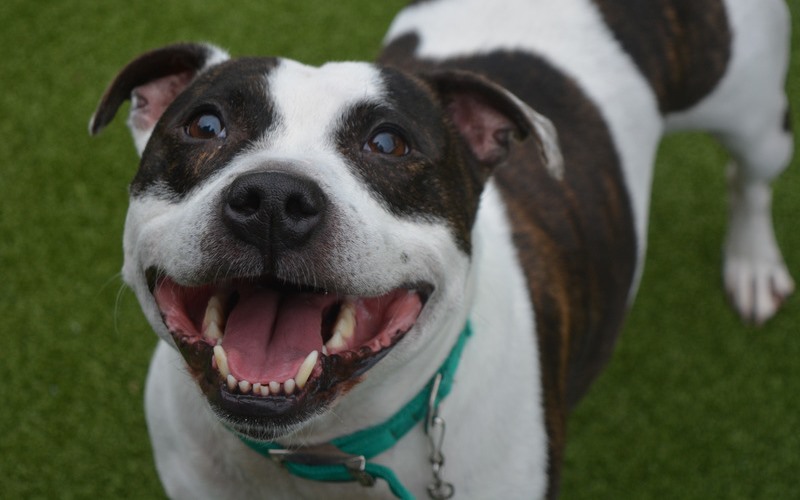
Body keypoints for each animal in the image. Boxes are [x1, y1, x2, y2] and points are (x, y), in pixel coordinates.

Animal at [89, 0, 792, 498]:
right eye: (204, 125)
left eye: (389, 142)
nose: (273, 199)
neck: (326, 455)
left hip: (756, 115)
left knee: (751, 178)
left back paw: (753, 263)